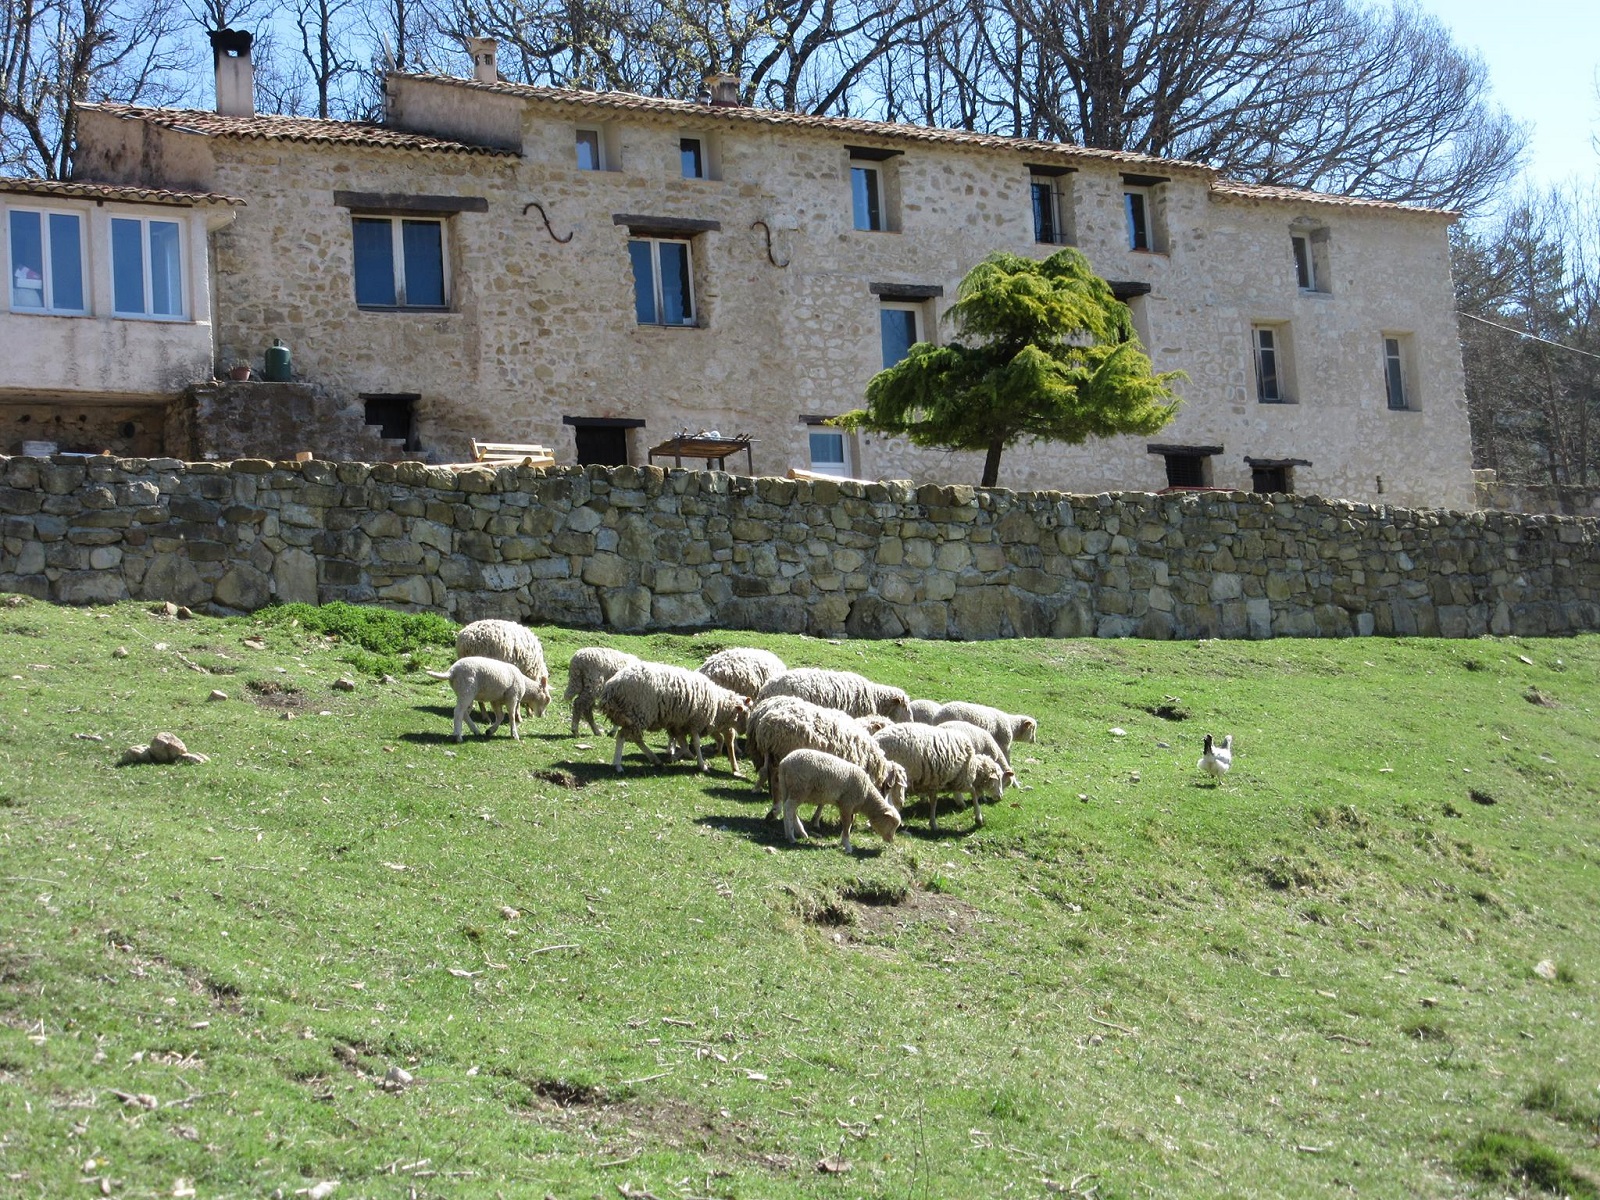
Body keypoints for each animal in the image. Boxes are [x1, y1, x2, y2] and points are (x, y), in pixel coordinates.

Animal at [601, 662, 748, 774]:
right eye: (745, 713)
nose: (745, 731)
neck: (718, 704)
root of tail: (611, 687)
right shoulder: (695, 722)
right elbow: (695, 743)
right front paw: (702, 765)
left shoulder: (679, 724)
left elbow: (683, 744)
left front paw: (675, 757)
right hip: (638, 714)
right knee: (622, 736)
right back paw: (618, 765)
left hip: (634, 716)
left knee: (636, 738)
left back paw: (655, 760)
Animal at [742, 700, 908, 825]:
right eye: (896, 787)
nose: (901, 804)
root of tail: (766, 725)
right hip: (782, 755)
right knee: (776, 783)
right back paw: (775, 810)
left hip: (772, 756)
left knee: (767, 774)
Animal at [774, 752, 902, 857]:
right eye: (892, 824)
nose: (891, 840)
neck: (866, 797)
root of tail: (784, 763)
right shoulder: (847, 804)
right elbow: (846, 824)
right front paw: (847, 846)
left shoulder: (848, 806)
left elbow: (849, 824)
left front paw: (843, 841)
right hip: (799, 787)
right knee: (789, 808)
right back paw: (791, 836)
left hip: (788, 788)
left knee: (791, 810)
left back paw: (800, 833)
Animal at [870, 723, 1004, 838]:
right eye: (998, 780)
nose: (1001, 796)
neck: (974, 766)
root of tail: (876, 739)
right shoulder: (961, 778)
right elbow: (973, 792)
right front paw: (978, 818)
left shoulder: (934, 782)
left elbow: (934, 801)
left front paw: (933, 822)